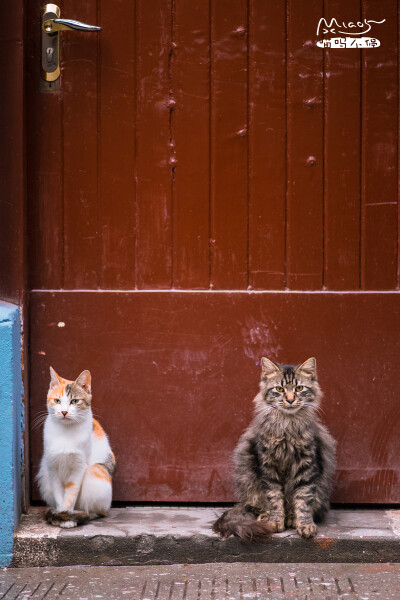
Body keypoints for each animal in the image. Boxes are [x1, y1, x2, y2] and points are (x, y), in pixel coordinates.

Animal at [37, 368, 115, 528]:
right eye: (57, 400)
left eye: (74, 401)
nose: (64, 412)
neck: (65, 432)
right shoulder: (52, 467)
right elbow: (59, 494)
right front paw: (61, 514)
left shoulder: (79, 467)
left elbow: (71, 494)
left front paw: (67, 517)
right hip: (45, 478)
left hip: (95, 473)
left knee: (100, 511)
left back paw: (85, 514)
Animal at [214, 358, 336, 540]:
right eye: (279, 389)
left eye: (299, 389)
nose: (291, 400)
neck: (287, 425)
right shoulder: (268, 465)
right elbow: (274, 498)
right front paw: (275, 521)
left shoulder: (306, 465)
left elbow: (304, 498)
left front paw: (305, 524)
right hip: (248, 479)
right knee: (259, 505)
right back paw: (266, 517)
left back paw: (292, 518)